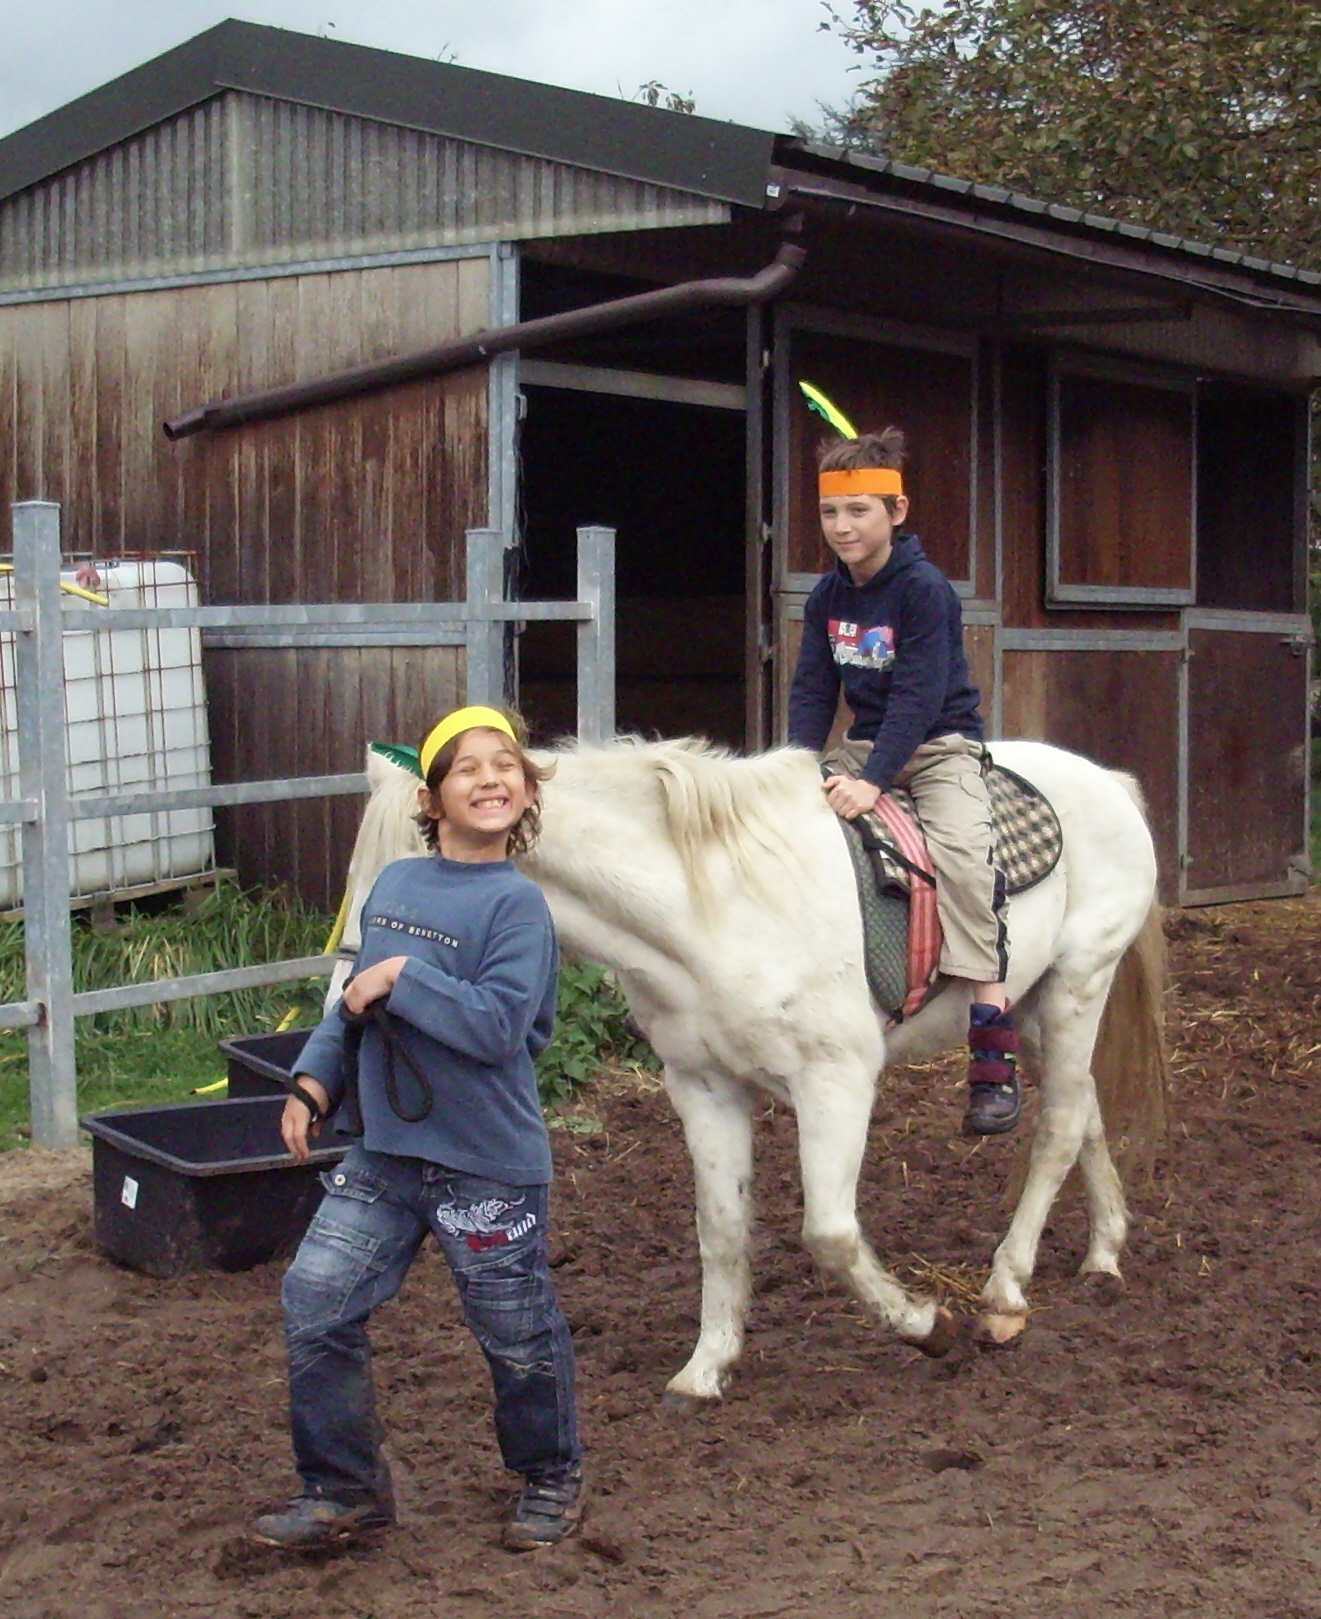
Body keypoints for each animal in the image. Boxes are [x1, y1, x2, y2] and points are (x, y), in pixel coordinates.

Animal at [333, 735, 1165, 1405]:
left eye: (417, 886)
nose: (350, 995)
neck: (711, 909)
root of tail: (1107, 781)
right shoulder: (702, 1087)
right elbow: (723, 1227)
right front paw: (706, 1368)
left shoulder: (835, 1081)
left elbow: (828, 1232)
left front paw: (927, 1323)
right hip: (1034, 1005)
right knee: (1083, 1110)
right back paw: (1103, 1252)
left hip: (1077, 984)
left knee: (1057, 1126)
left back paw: (1004, 1286)